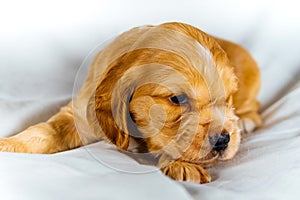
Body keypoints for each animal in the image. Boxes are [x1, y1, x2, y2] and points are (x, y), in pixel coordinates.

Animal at [0, 21, 260, 183]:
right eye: (177, 99)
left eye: (228, 98)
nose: (223, 140)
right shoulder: (81, 113)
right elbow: (46, 131)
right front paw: (9, 144)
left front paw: (182, 166)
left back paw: (246, 121)